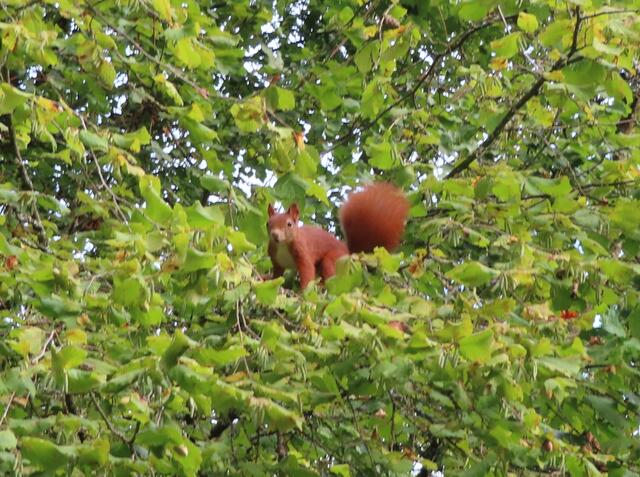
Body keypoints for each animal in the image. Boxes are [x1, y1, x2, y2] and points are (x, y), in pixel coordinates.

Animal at [267, 182, 409, 288]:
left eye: (289, 224)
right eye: (268, 224)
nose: (274, 235)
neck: (282, 245)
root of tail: (348, 252)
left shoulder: (302, 251)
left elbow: (307, 270)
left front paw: (303, 291)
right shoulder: (276, 260)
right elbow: (277, 274)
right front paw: (270, 281)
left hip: (333, 260)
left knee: (330, 274)